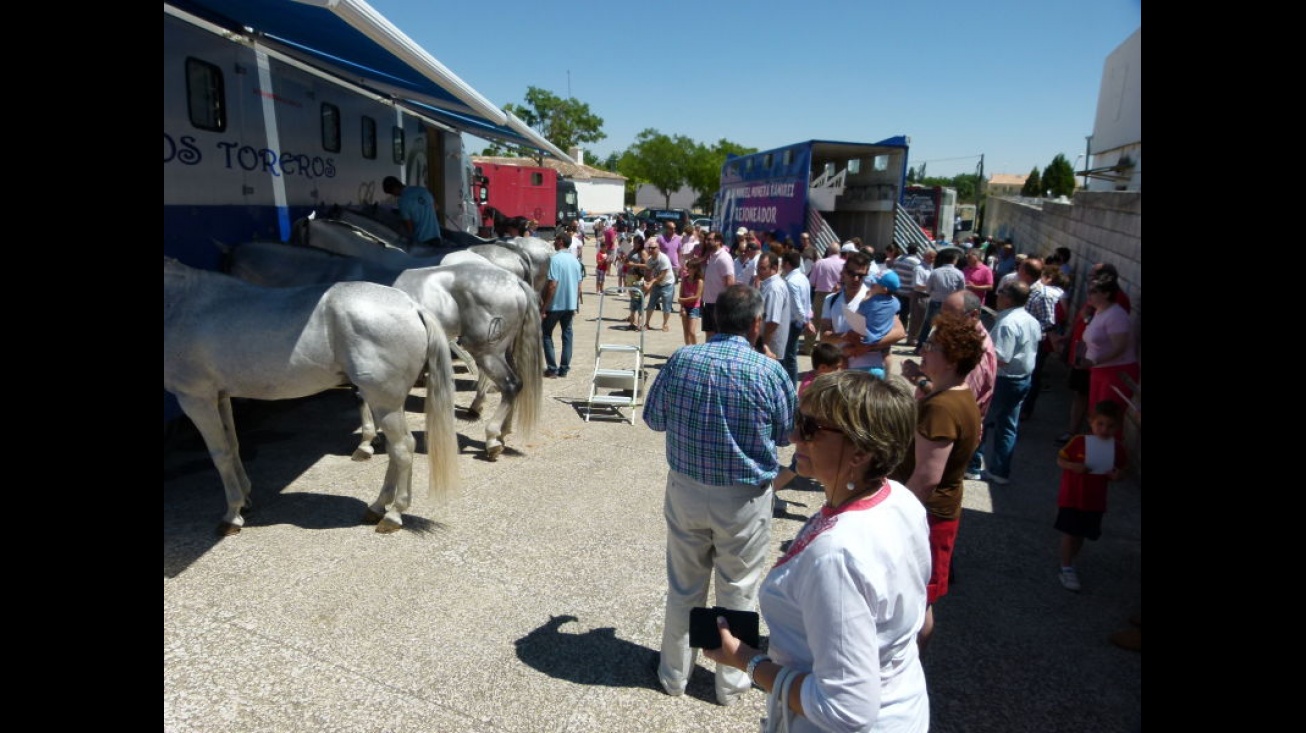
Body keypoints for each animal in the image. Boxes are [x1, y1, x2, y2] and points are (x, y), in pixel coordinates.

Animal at [163, 260, 462, 535]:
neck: (180, 304)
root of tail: (412, 306)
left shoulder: (196, 399)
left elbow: (220, 454)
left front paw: (232, 514)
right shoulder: (221, 397)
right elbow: (233, 446)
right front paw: (245, 498)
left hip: (383, 401)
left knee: (402, 448)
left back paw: (393, 514)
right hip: (387, 403)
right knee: (394, 449)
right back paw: (377, 507)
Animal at [224, 240, 540, 457]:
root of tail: (513, 280)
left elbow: (359, 397)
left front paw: (366, 441)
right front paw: (373, 436)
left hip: (487, 352)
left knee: (511, 384)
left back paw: (491, 437)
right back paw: (502, 431)